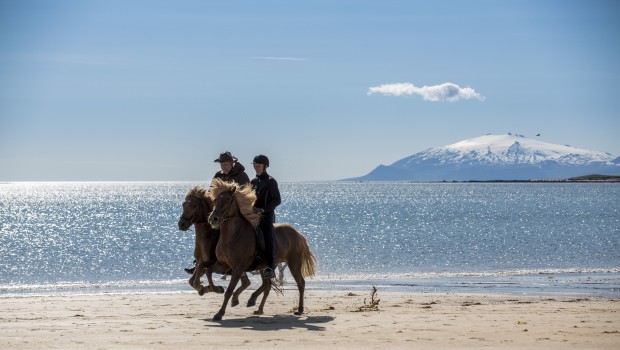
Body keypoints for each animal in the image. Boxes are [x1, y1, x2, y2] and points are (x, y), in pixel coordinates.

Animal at [208, 179, 318, 322]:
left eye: (227, 200)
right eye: (215, 200)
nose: (213, 219)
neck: (234, 235)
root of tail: (298, 234)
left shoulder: (238, 267)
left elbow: (229, 290)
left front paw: (219, 313)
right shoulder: (224, 264)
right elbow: (209, 271)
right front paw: (217, 289)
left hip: (293, 264)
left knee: (300, 283)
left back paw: (299, 310)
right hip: (266, 267)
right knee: (267, 285)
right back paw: (257, 306)